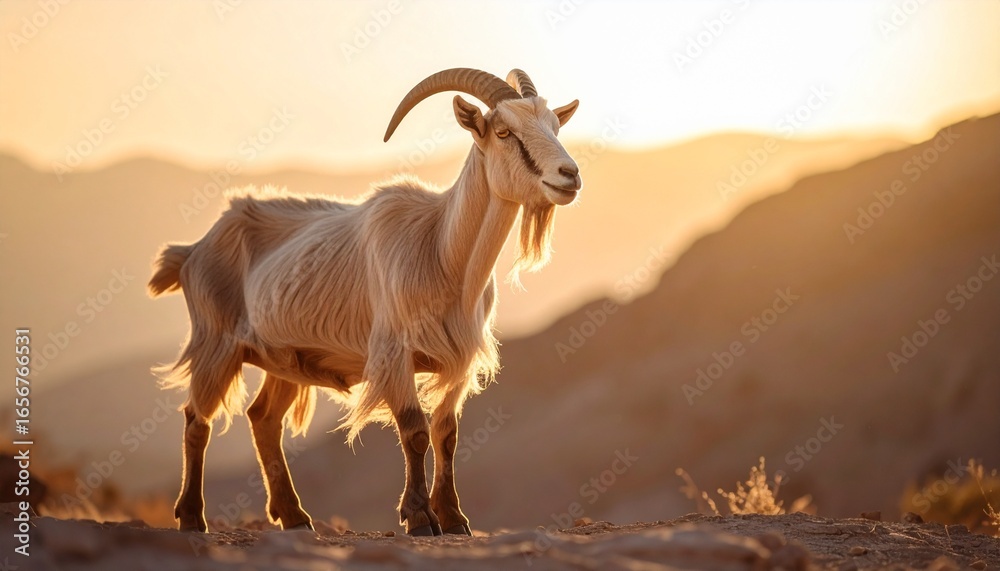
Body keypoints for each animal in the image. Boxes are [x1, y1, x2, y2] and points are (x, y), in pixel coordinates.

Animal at [148, 68, 581, 536]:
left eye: (555, 127)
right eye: (504, 131)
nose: (569, 174)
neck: (440, 251)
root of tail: (194, 249)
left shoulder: (460, 361)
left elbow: (446, 434)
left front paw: (453, 517)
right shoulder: (394, 353)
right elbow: (414, 431)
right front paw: (419, 517)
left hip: (284, 358)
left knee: (263, 418)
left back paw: (294, 516)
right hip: (216, 342)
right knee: (197, 419)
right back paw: (193, 517)